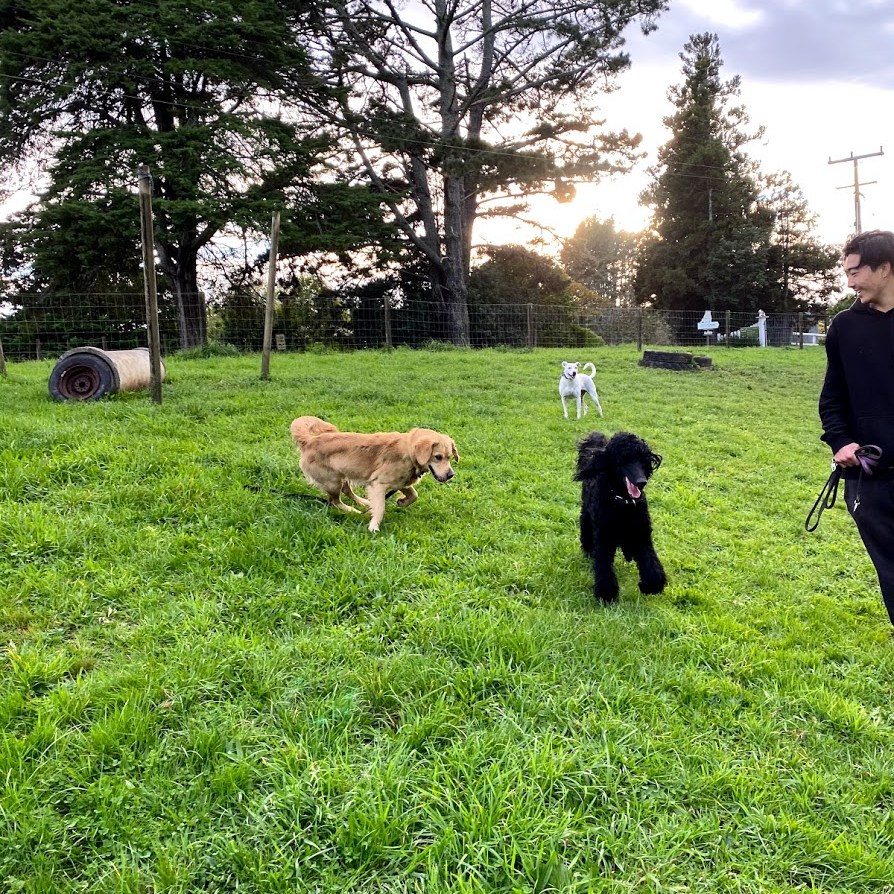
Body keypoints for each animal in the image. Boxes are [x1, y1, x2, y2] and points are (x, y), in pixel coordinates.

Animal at [290, 416, 459, 532]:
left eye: (450, 457)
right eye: (438, 457)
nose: (450, 475)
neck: (409, 453)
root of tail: (310, 441)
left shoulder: (401, 482)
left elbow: (414, 495)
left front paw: (402, 502)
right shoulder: (378, 484)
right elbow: (381, 507)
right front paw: (374, 527)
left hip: (344, 476)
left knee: (347, 491)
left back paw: (363, 502)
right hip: (332, 481)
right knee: (334, 500)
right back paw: (352, 510)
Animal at [574, 431, 666, 603]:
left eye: (643, 459)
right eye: (624, 459)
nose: (642, 482)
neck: (624, 504)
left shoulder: (642, 534)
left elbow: (651, 563)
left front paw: (651, 586)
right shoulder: (604, 538)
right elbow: (603, 566)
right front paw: (607, 594)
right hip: (587, 518)